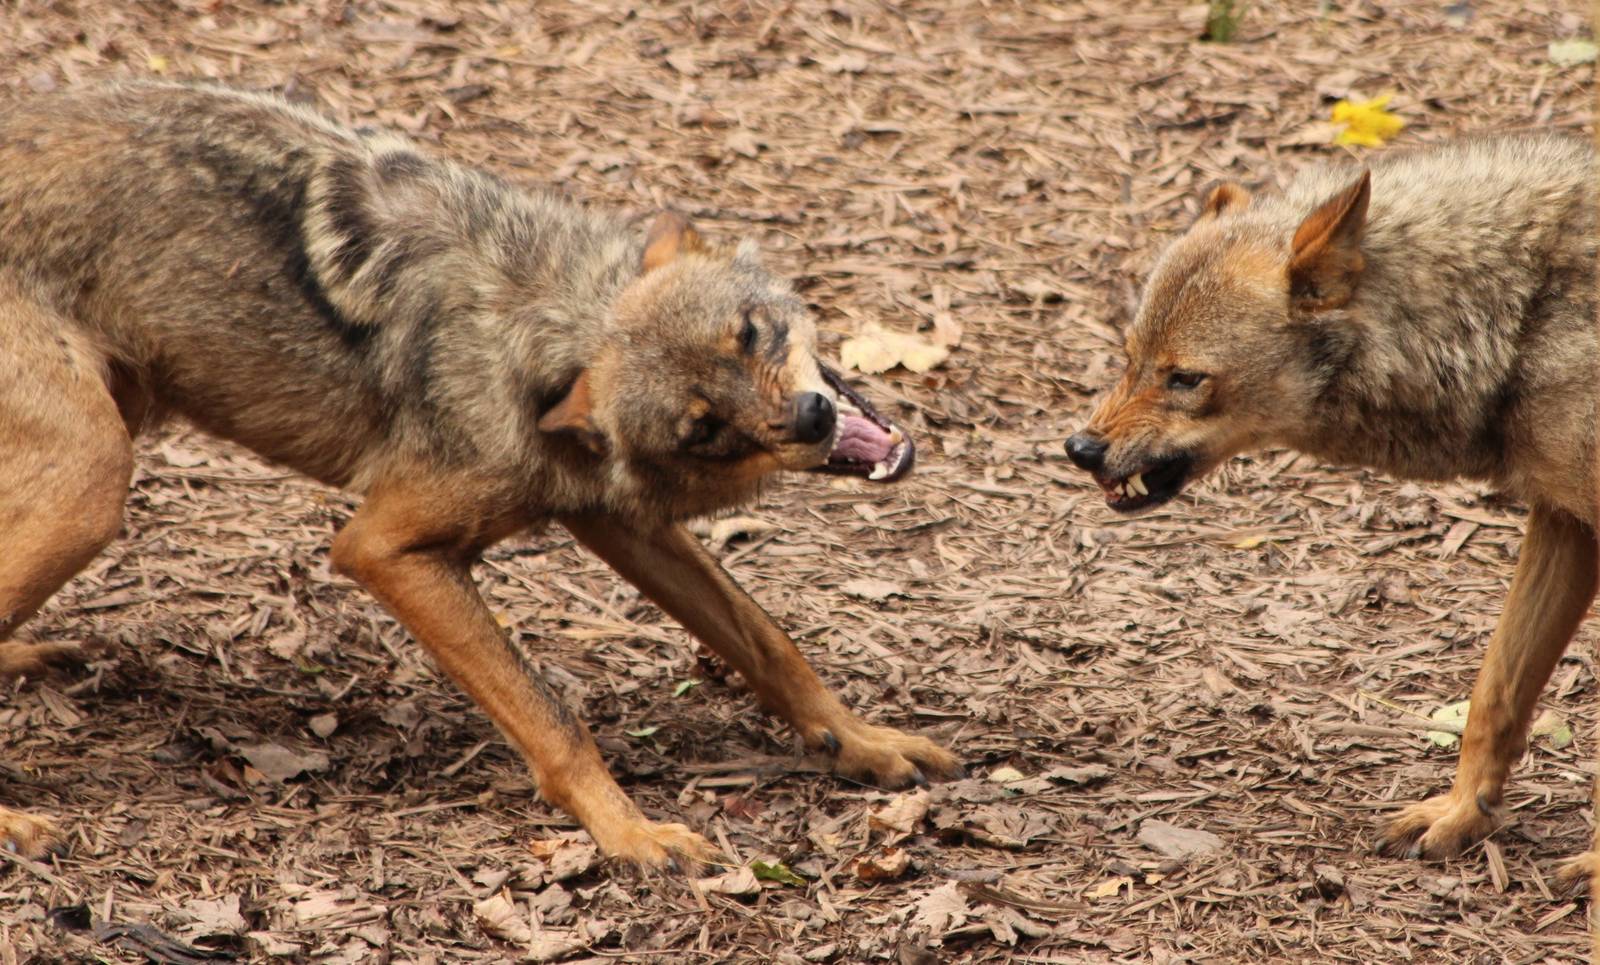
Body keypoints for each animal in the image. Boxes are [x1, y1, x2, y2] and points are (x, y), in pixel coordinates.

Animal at [0, 80, 957, 868]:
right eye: (707, 428)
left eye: (752, 335)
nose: (812, 420)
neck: (543, 327)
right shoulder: (384, 547)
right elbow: (554, 718)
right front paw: (631, 832)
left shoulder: (620, 519)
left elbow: (768, 642)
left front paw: (859, 742)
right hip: (96, 480)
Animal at [1063, 136, 1600, 881]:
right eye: (1128, 359)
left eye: (1186, 378)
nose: (1081, 449)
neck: (1524, 318)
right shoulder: (1564, 518)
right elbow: (1493, 693)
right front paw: (1461, 815)